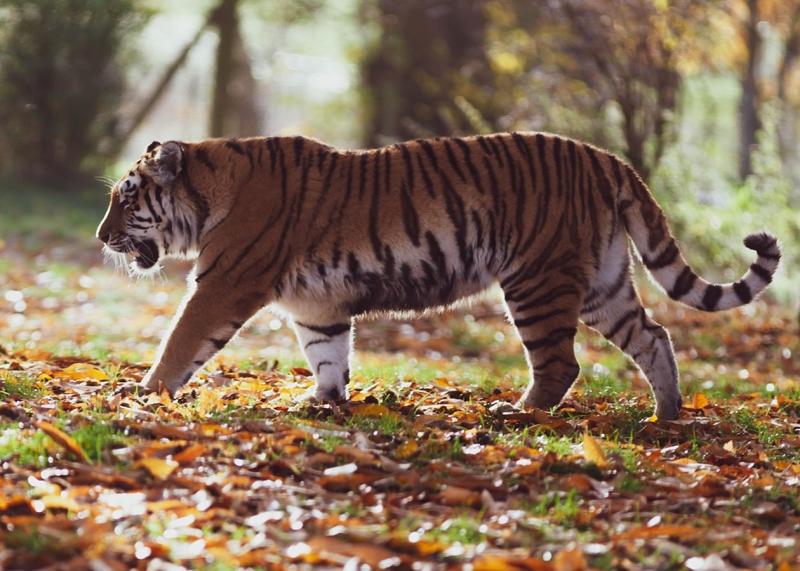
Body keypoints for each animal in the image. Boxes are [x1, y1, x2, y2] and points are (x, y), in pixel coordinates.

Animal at [95, 134, 780, 420]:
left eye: (126, 200)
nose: (101, 238)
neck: (212, 188)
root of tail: (607, 158)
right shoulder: (316, 306)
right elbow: (327, 353)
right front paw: (322, 401)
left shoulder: (223, 285)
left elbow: (181, 341)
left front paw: (145, 393)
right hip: (602, 285)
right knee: (654, 337)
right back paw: (667, 416)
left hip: (537, 280)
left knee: (561, 364)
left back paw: (518, 414)